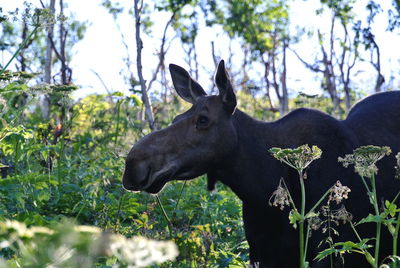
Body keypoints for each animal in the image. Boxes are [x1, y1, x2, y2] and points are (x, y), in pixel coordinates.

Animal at [122, 60, 400, 268]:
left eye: (202, 120)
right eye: (177, 118)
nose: (133, 164)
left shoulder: (336, 251)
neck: (259, 185)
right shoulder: (262, 254)